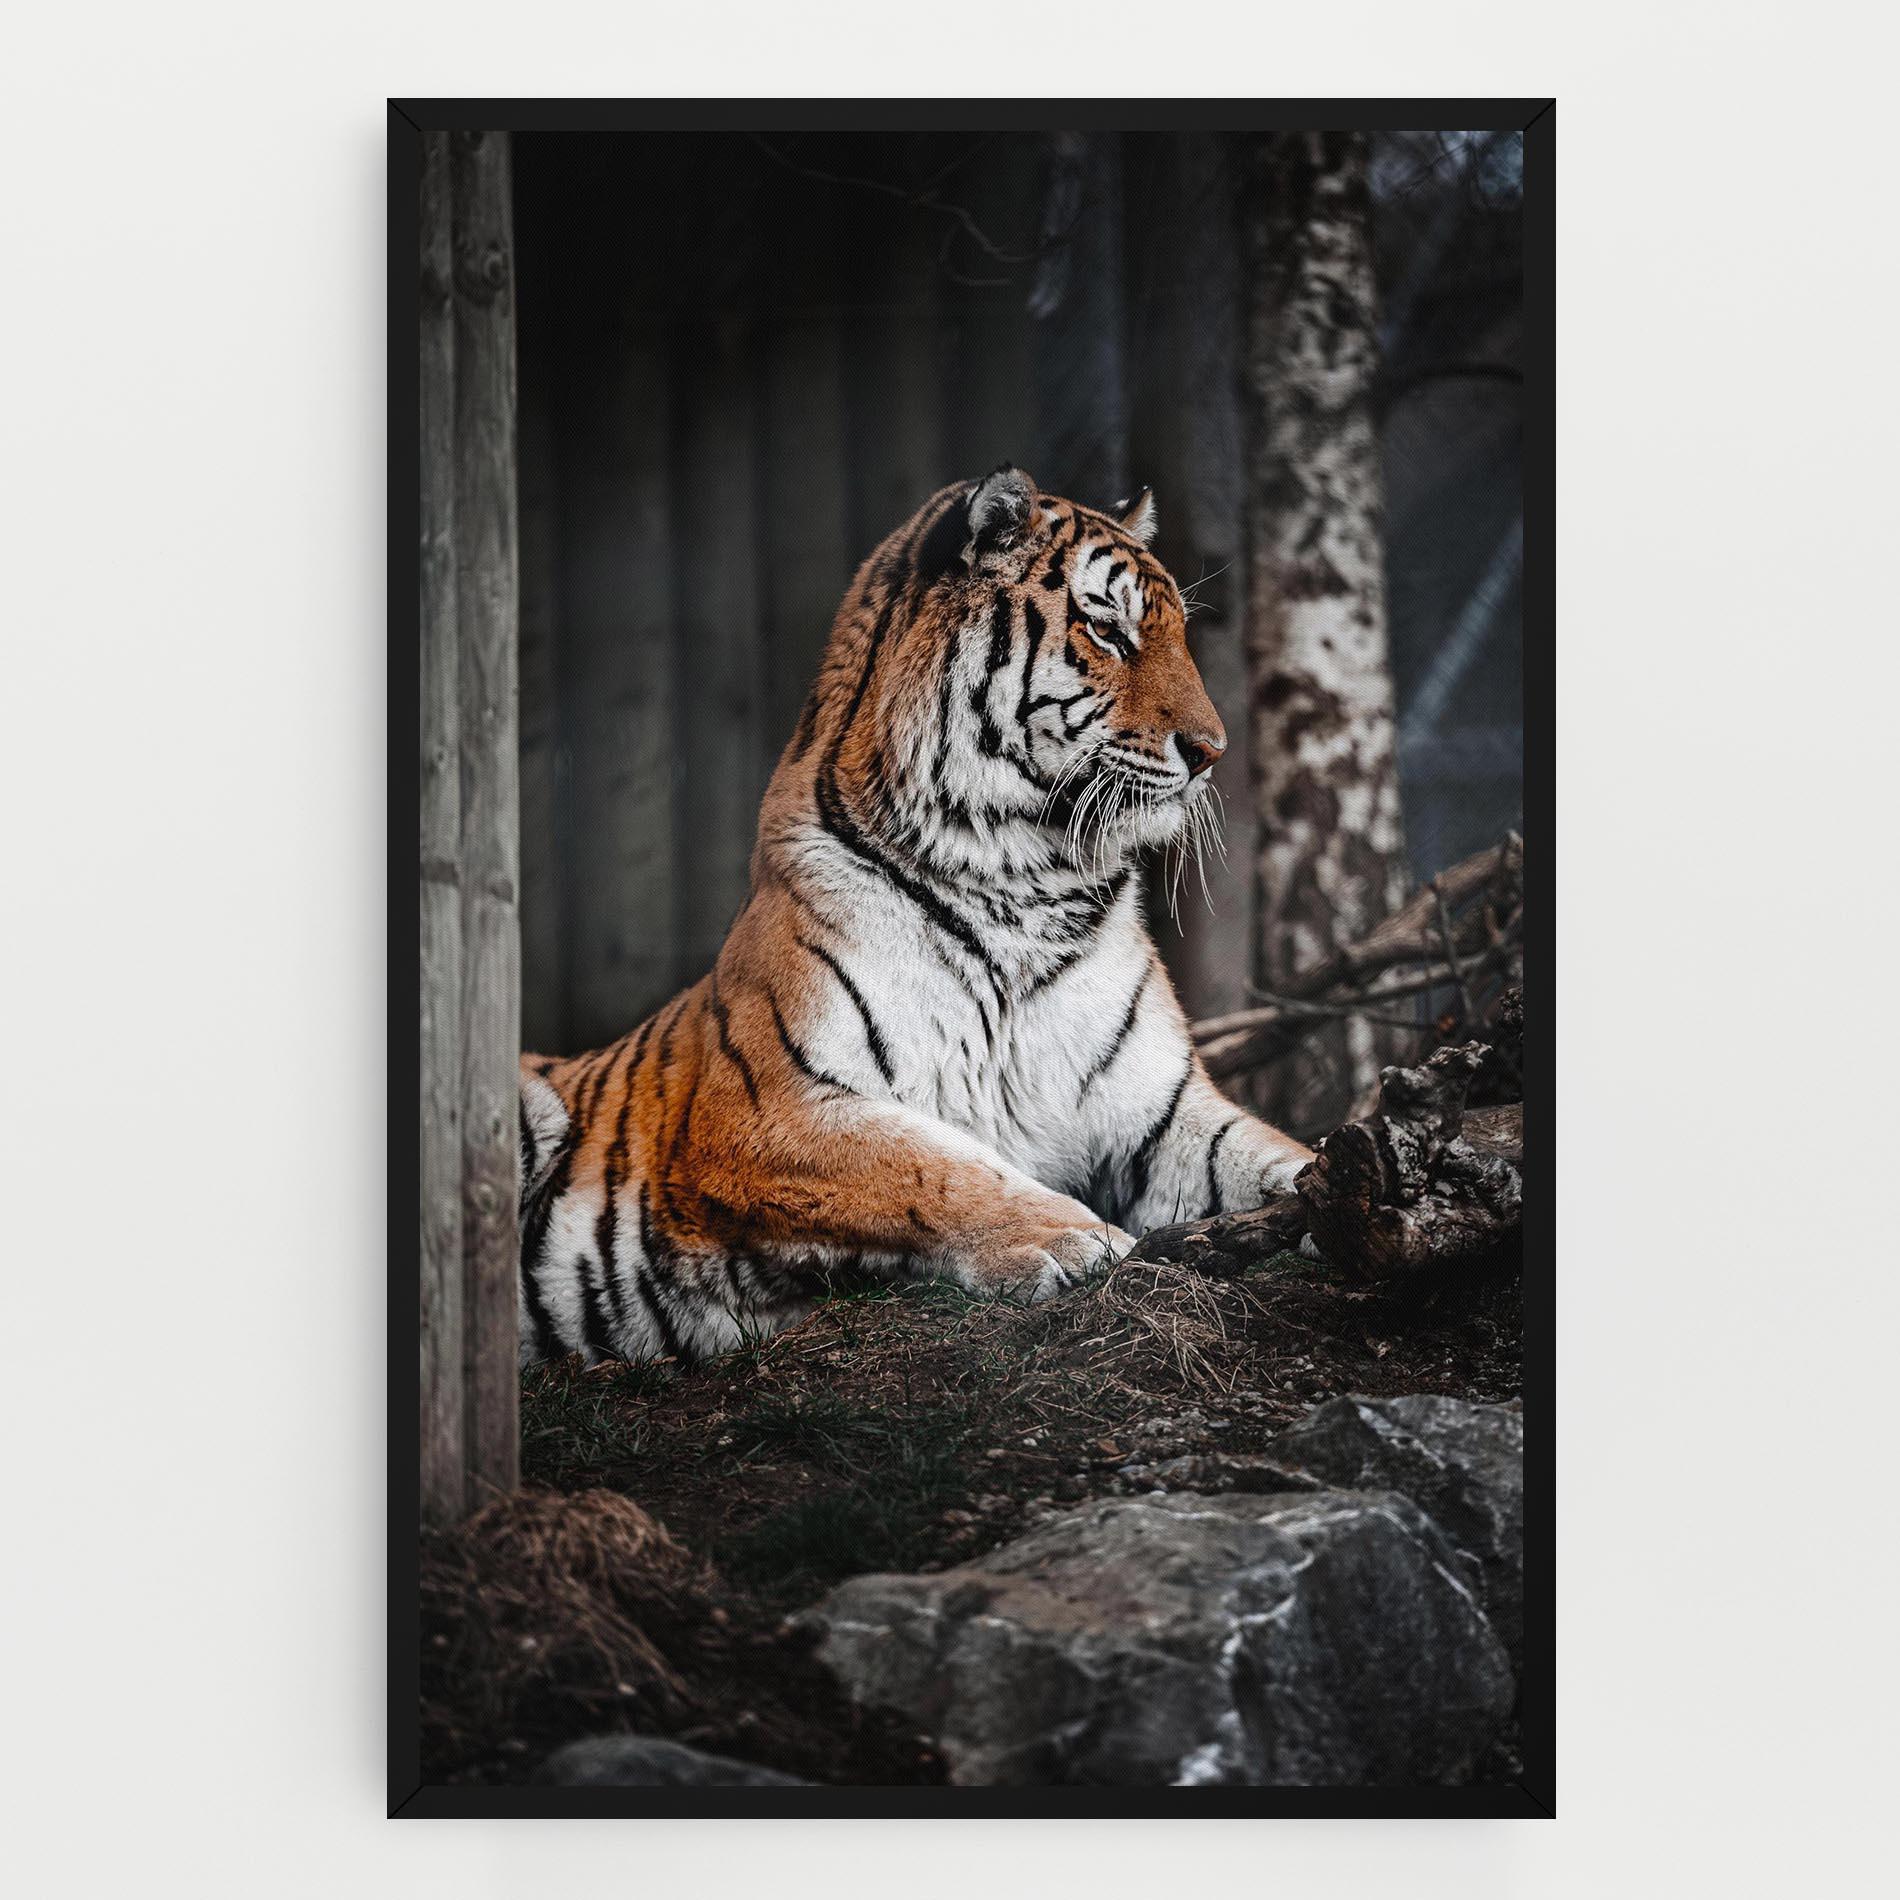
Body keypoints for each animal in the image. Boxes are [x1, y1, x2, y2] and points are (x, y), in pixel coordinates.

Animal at [515, 466, 1313, 1367]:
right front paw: (1073, 1239)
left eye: (1177, 633)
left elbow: (1273, 1153)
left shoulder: (1161, 1114)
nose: (1212, 753)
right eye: (1107, 631)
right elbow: (934, 1167)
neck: (1028, 881)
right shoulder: (763, 1110)